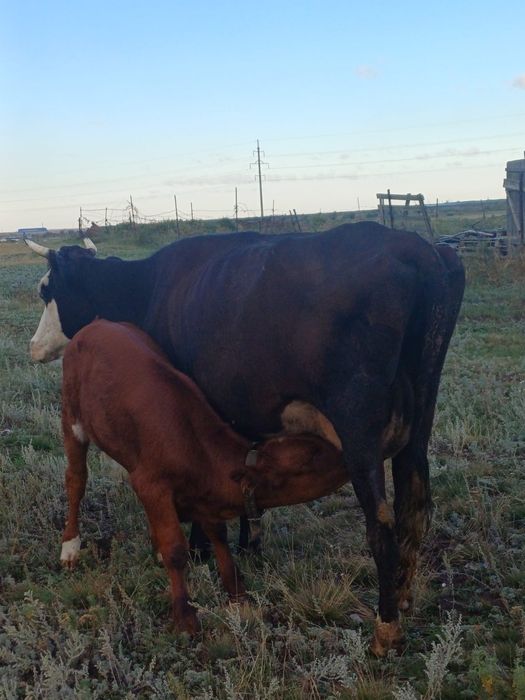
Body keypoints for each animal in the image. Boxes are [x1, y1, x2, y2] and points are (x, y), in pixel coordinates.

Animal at [60, 319, 347, 635]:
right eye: (312, 456)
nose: (345, 455)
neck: (198, 450)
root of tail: (98, 323)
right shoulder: (150, 483)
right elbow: (176, 549)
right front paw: (185, 616)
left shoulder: (201, 497)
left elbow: (218, 535)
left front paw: (238, 593)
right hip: (71, 418)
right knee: (76, 480)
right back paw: (70, 546)